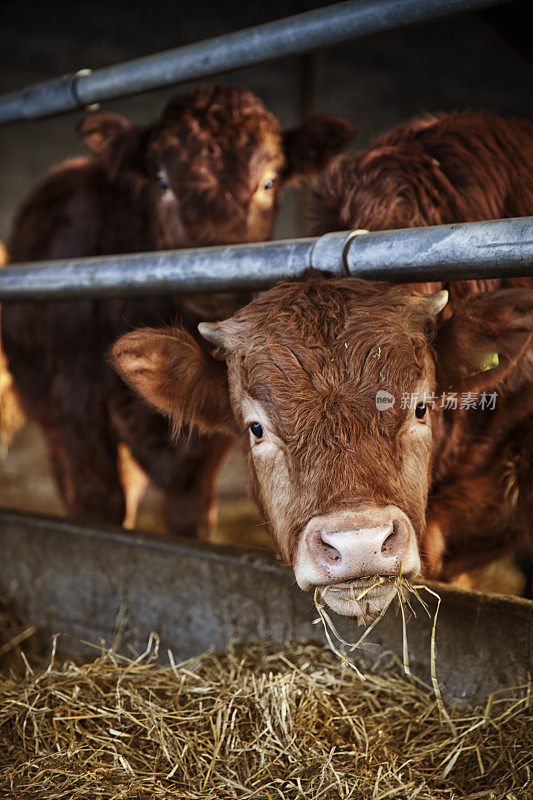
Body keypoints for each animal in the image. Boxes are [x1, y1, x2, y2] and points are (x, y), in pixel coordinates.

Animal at [2, 86, 356, 536]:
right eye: (163, 181)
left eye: (268, 181)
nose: (219, 267)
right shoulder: (76, 414)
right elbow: (100, 508)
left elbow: (191, 515)